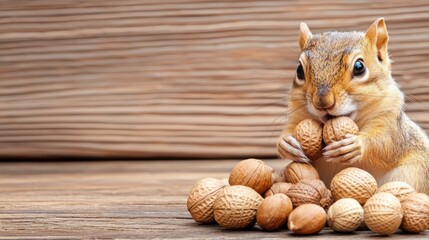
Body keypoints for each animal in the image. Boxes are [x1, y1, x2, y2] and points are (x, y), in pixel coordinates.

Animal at [278, 17, 428, 194]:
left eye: (359, 67)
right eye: (299, 70)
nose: (322, 101)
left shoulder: (391, 123)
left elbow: (384, 142)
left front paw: (356, 145)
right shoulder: (298, 117)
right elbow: (290, 129)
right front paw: (286, 142)